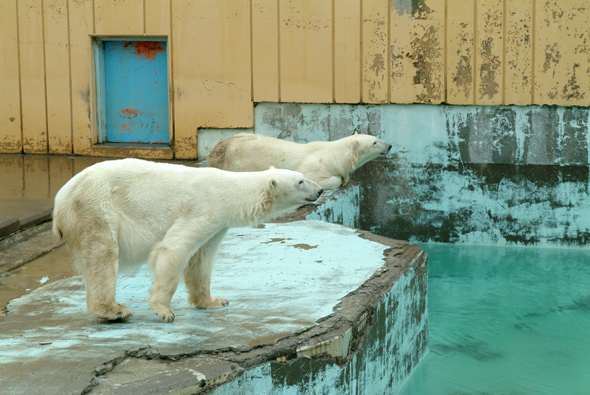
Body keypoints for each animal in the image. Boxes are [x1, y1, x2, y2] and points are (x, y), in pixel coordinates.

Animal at [52, 159, 324, 324]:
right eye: (301, 181)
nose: (320, 190)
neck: (229, 191)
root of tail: (59, 202)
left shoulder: (218, 223)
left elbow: (201, 261)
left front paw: (214, 301)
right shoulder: (202, 209)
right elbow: (174, 250)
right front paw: (164, 310)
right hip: (94, 210)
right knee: (103, 255)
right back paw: (115, 310)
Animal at [208, 131, 394, 190]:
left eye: (376, 138)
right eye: (375, 142)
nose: (390, 145)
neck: (335, 154)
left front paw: (346, 178)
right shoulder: (314, 166)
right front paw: (340, 180)